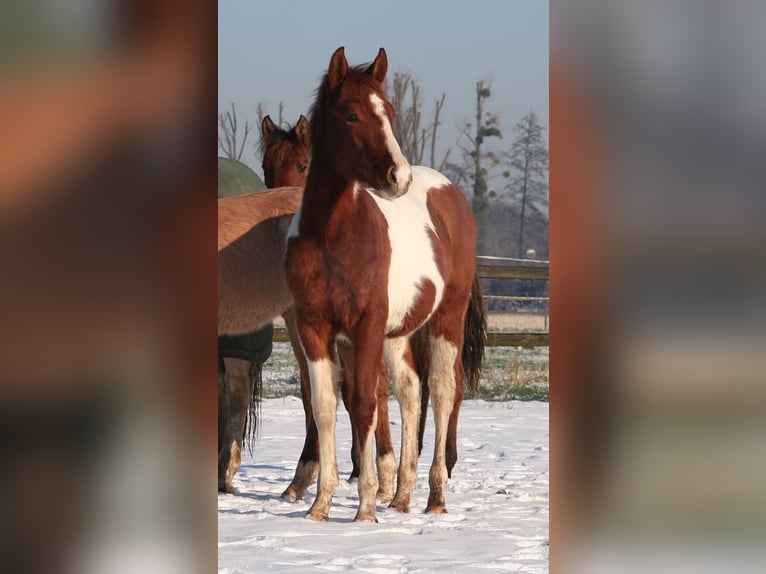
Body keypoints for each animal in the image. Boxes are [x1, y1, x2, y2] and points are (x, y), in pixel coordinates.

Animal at [284, 47, 484, 522]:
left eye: (390, 113)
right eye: (351, 115)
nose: (399, 178)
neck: (332, 237)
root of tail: (449, 191)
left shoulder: (365, 328)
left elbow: (364, 405)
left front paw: (364, 509)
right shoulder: (314, 328)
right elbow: (325, 407)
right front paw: (320, 505)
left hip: (446, 317)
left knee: (442, 389)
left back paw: (435, 496)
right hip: (400, 332)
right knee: (410, 391)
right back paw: (403, 496)